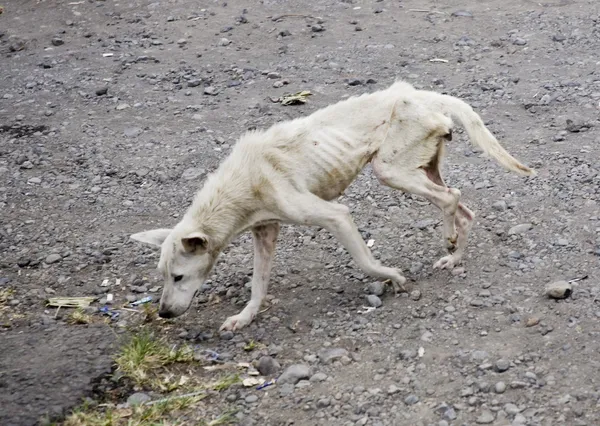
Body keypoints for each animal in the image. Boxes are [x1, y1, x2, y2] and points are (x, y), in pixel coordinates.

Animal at [131, 81, 536, 332]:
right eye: (162, 276)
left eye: (178, 277)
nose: (163, 313)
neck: (240, 184)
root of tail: (420, 95)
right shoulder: (265, 232)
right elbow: (258, 285)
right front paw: (244, 318)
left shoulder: (334, 216)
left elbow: (366, 262)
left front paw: (392, 277)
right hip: (422, 168)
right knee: (463, 207)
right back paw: (454, 256)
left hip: (390, 170)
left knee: (451, 199)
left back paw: (449, 241)